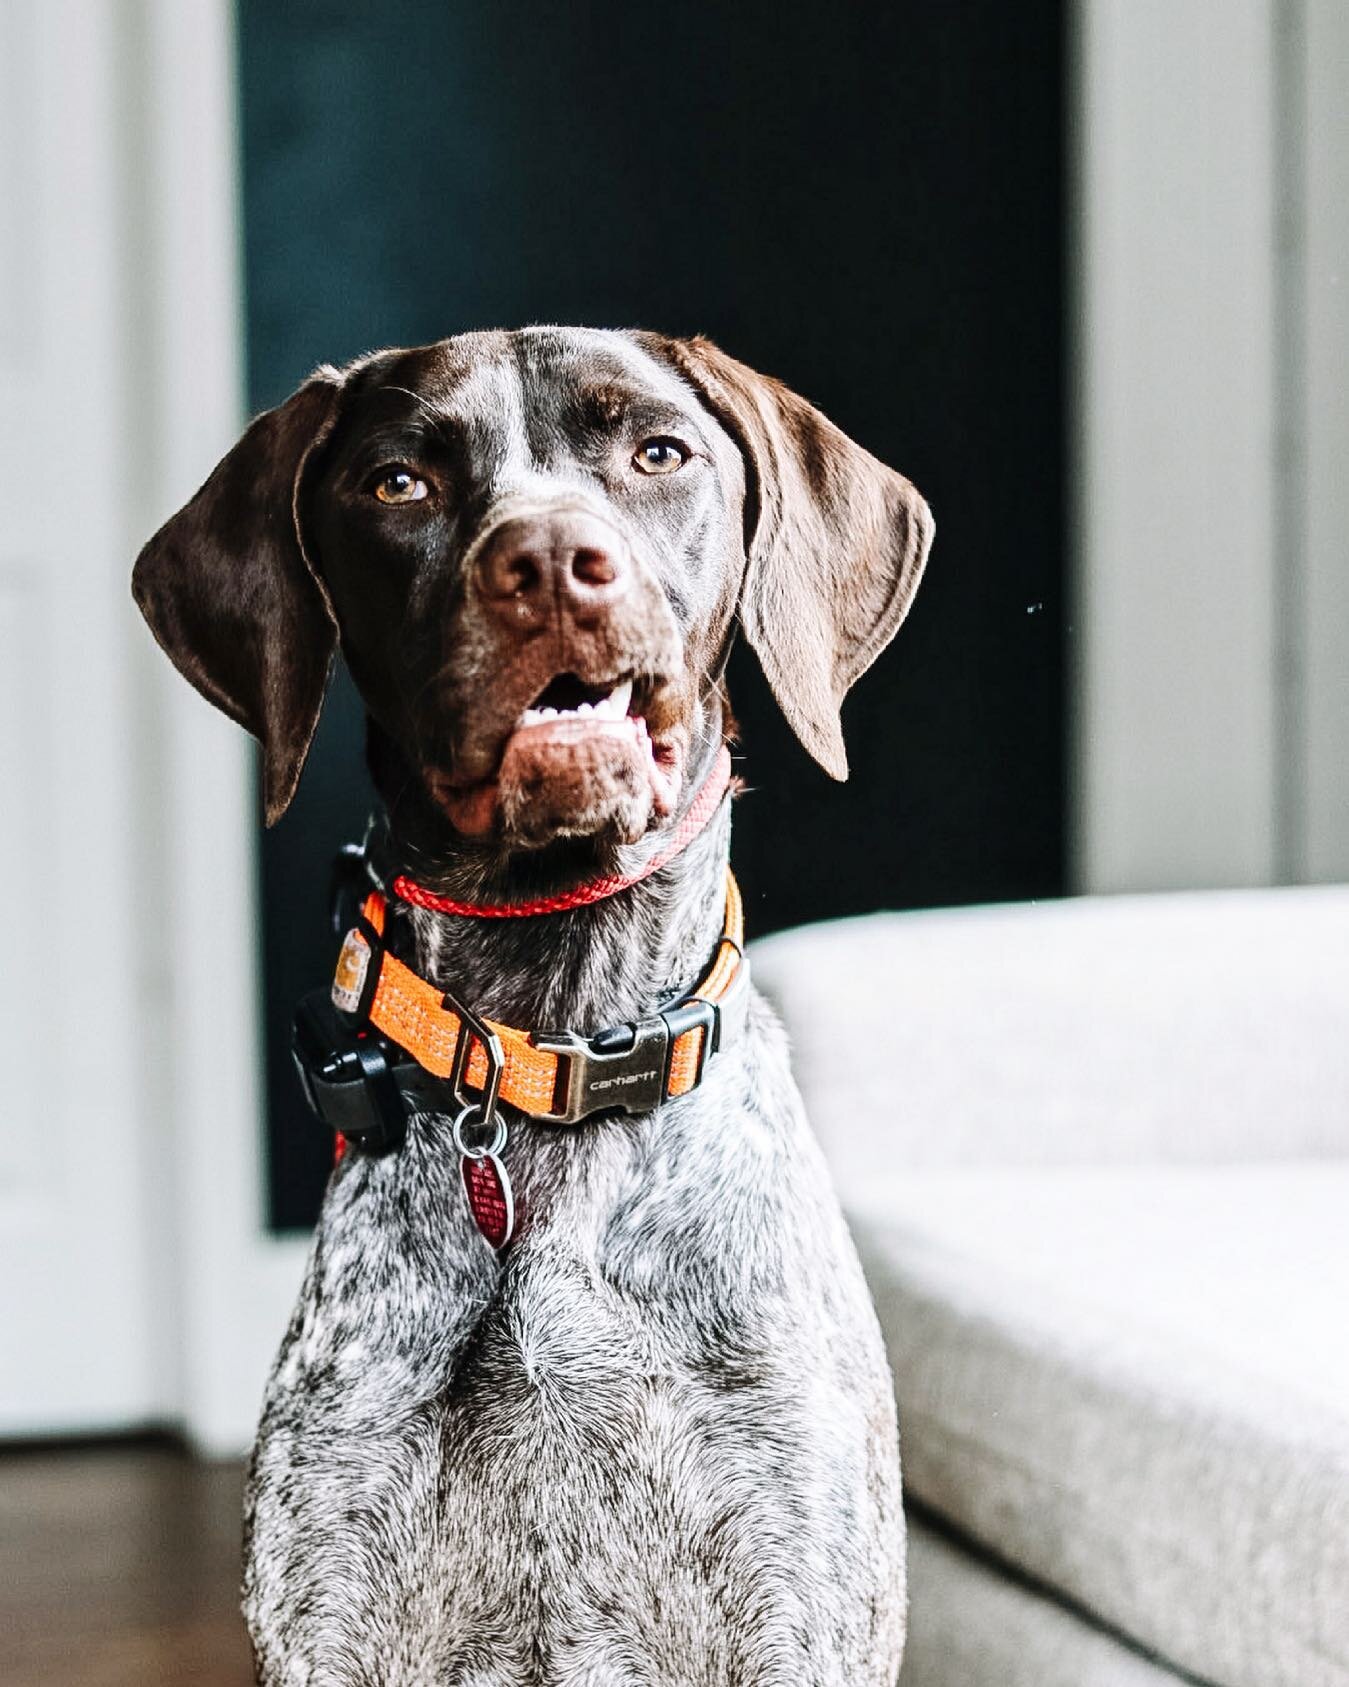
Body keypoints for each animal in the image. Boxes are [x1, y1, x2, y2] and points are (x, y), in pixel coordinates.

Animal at [134, 322, 930, 1680]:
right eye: (398, 482)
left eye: (657, 452)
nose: (552, 561)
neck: (557, 1047)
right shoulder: (328, 1609)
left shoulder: (796, 1611)